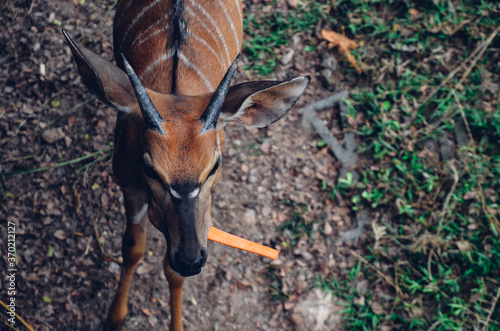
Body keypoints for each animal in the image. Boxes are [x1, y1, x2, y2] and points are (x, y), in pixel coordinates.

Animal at [63, 0, 308, 330]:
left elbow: (171, 272)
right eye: (149, 168)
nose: (190, 260)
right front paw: (115, 317)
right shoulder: (129, 184)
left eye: (214, 166)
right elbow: (132, 246)